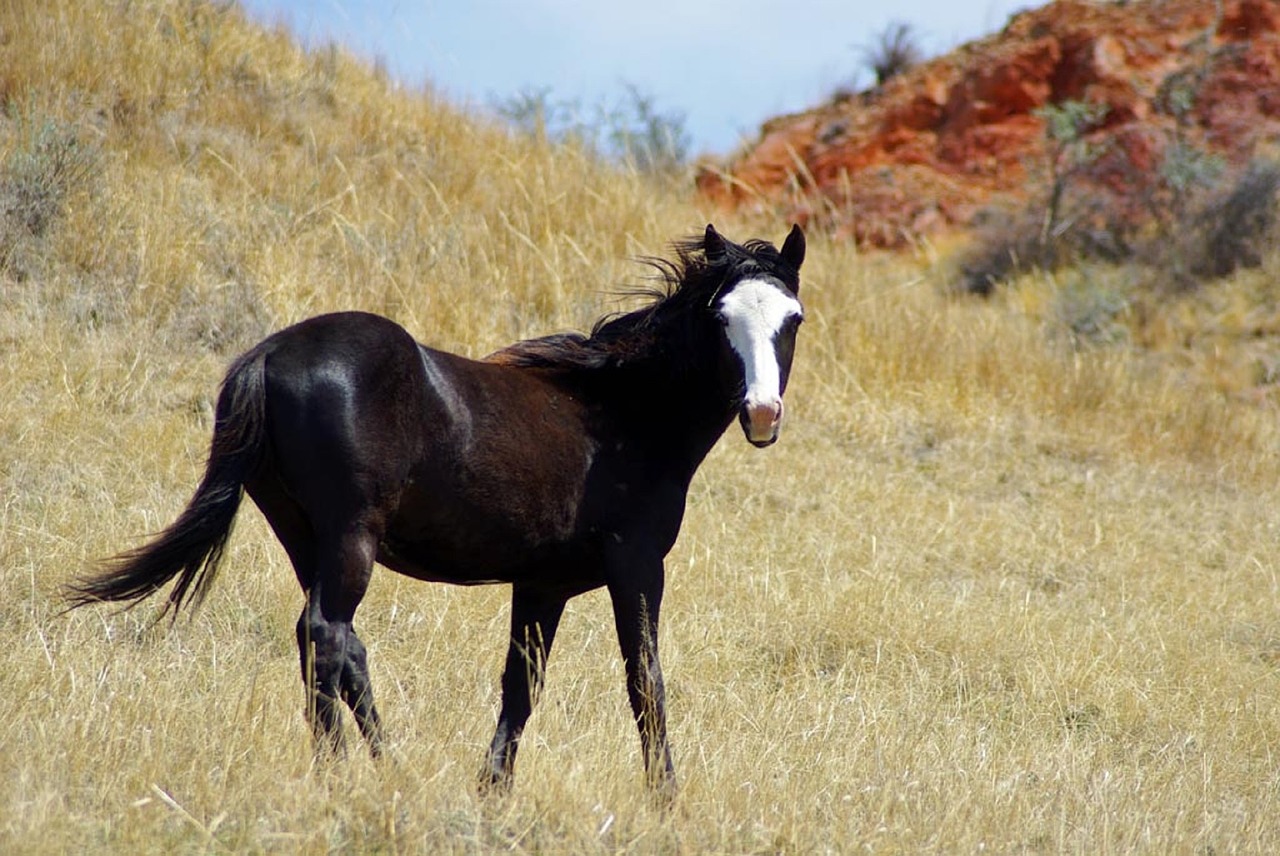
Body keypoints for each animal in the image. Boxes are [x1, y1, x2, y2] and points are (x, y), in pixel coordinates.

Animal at [64, 222, 803, 793]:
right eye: (721, 318)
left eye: (791, 319)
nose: (762, 413)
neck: (618, 414)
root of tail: (270, 355)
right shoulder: (638, 566)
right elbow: (644, 681)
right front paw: (665, 798)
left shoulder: (543, 585)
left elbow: (521, 686)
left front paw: (492, 792)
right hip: (351, 536)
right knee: (325, 634)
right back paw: (336, 776)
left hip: (305, 536)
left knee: (341, 646)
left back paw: (389, 770)